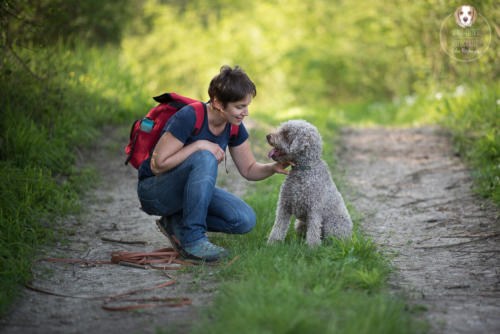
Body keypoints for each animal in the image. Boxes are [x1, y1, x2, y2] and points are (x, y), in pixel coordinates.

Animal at [266, 118, 352, 247]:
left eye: (286, 133)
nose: (268, 136)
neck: (303, 170)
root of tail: (351, 234)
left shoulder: (314, 209)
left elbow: (313, 231)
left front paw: (312, 247)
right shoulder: (284, 206)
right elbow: (278, 227)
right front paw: (272, 243)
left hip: (332, 226)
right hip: (300, 224)